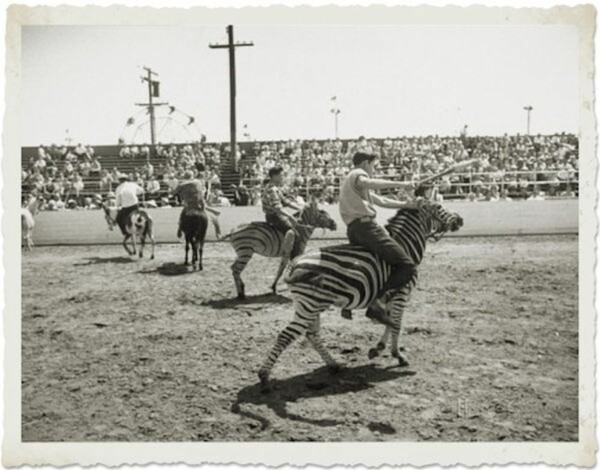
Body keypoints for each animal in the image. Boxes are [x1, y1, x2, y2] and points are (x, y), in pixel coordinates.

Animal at [258, 200, 464, 392]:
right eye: (439, 207)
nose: (460, 219)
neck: (404, 246)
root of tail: (294, 263)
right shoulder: (402, 292)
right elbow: (396, 324)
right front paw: (398, 355)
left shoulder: (389, 296)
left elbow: (389, 322)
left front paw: (378, 348)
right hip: (310, 305)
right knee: (286, 335)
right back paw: (264, 377)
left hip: (311, 304)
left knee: (311, 334)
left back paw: (333, 365)